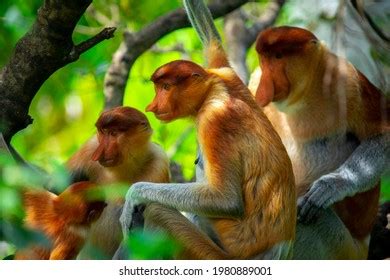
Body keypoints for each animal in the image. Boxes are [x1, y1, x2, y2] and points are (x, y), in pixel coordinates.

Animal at [116, 0, 296, 260]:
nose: (152, 106)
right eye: (159, 88)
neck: (213, 90)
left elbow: (226, 200)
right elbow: (211, 37)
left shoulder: (215, 120)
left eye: (166, 87)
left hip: (211, 254)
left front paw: (134, 195)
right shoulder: (224, 72)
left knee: (157, 212)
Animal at [248, 26, 388, 258]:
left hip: (342, 249)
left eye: (278, 56)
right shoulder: (253, 83)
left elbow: (382, 137)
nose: (266, 85)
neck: (300, 97)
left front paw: (327, 188)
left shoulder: (349, 80)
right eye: (263, 60)